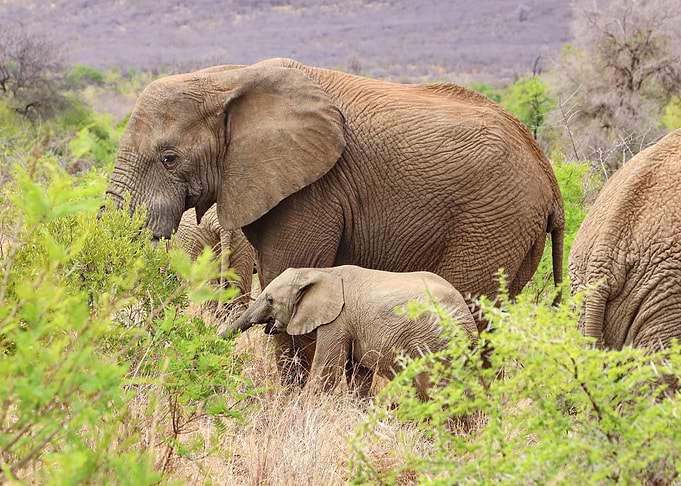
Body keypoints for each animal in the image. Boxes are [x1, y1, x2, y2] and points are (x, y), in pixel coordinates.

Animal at [104, 57, 565, 384]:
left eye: (169, 158)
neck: (228, 78)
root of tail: (549, 178)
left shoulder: (313, 191)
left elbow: (289, 273)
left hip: (493, 221)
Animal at [223, 265, 478, 397]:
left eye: (270, 300)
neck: (321, 272)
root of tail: (467, 319)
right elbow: (358, 375)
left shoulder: (337, 322)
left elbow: (327, 373)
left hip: (433, 343)